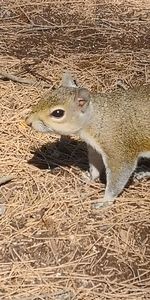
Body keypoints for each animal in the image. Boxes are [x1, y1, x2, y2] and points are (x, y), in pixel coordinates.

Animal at [26, 73, 150, 209]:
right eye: (44, 97)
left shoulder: (118, 149)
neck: (96, 118)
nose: (28, 122)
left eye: (58, 113)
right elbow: (95, 165)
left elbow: (119, 175)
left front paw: (105, 201)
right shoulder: (94, 148)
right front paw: (90, 177)